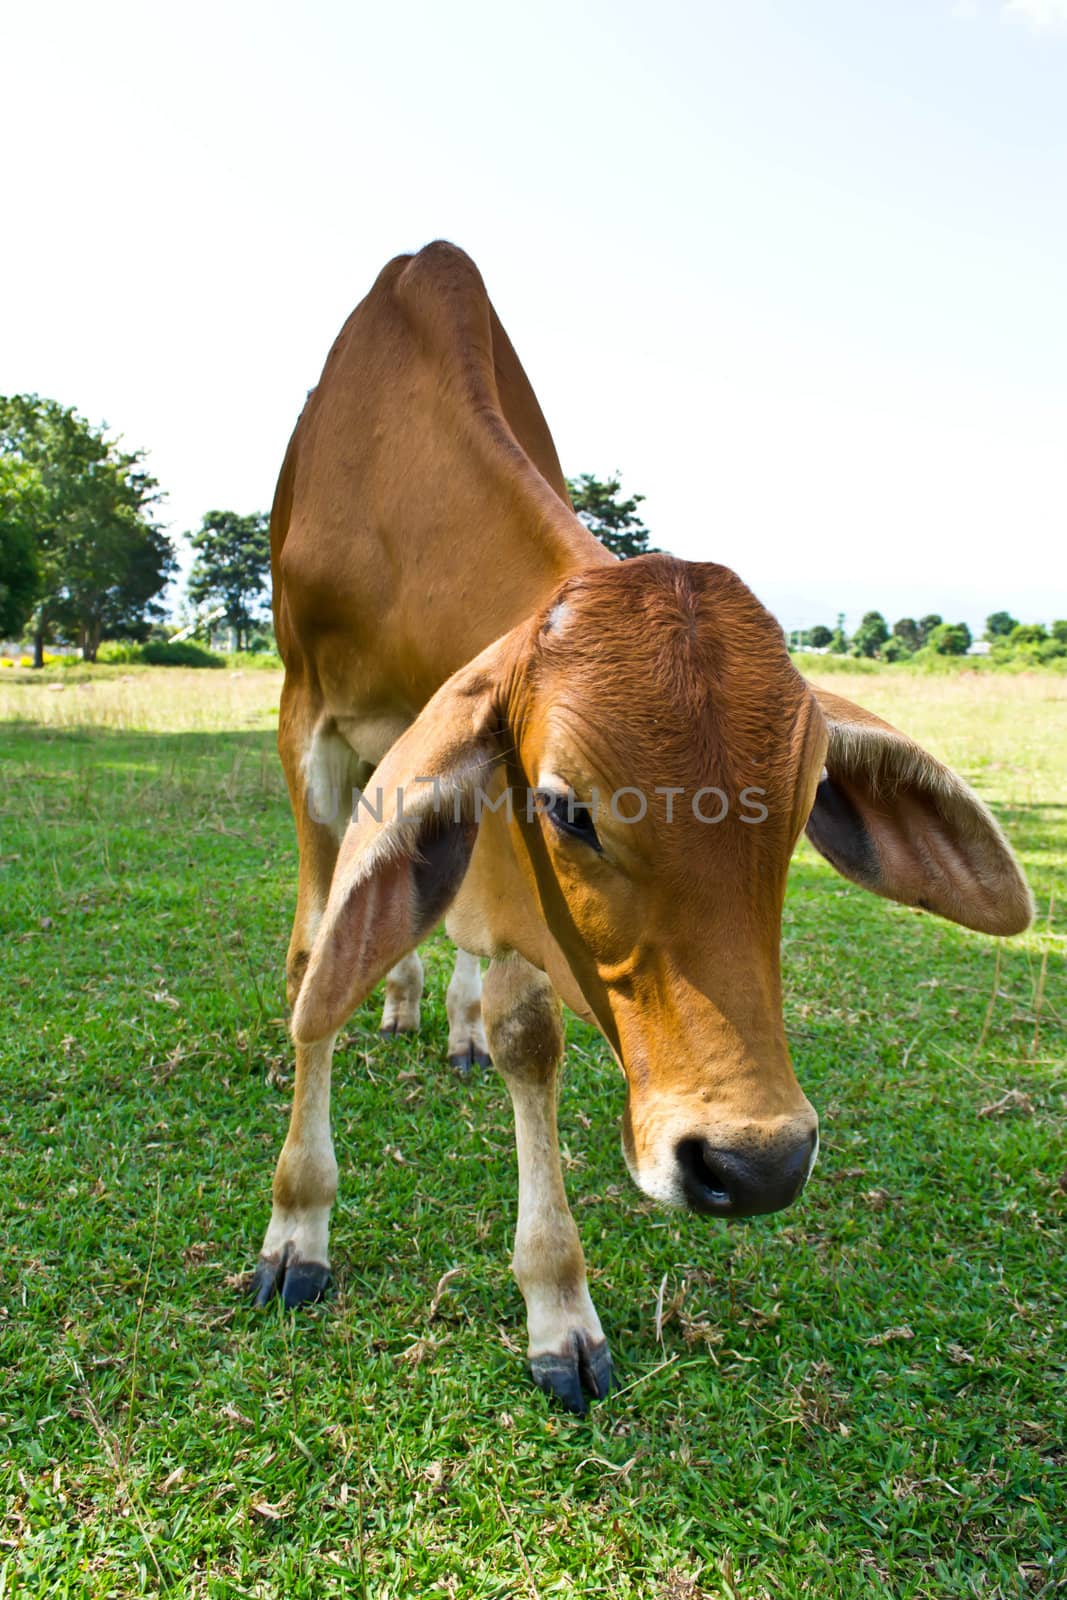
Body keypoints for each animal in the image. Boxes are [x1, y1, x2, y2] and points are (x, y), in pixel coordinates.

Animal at [252, 240, 1036, 1414]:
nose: (755, 1161)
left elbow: (528, 1033)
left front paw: (556, 1305)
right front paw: (297, 1224)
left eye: (800, 807)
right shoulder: (310, 722)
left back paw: (447, 1018)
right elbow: (313, 970)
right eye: (569, 808)